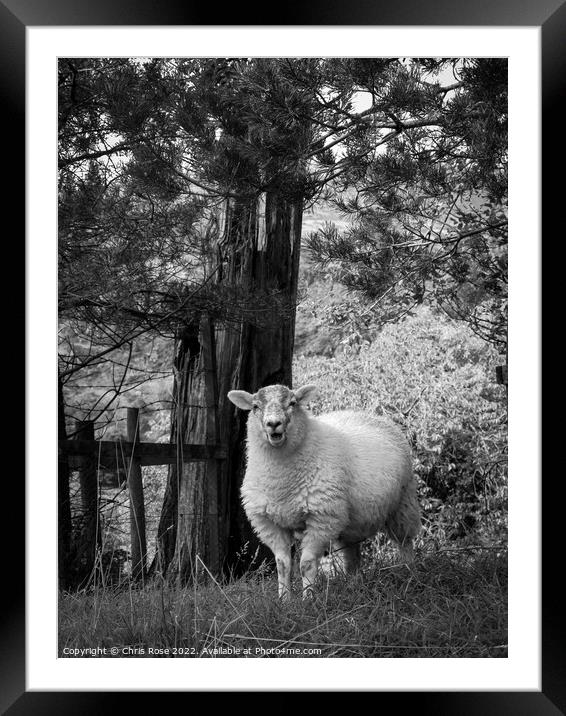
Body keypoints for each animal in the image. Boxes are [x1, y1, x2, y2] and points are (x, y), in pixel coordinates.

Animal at [227, 380, 422, 600]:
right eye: (255, 407)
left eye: (292, 403)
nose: (273, 423)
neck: (281, 483)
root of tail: (370, 415)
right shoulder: (269, 523)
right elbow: (282, 565)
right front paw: (284, 600)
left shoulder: (322, 518)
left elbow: (306, 564)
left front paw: (308, 599)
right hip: (351, 523)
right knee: (352, 555)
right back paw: (354, 584)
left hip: (403, 504)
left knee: (405, 542)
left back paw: (409, 574)